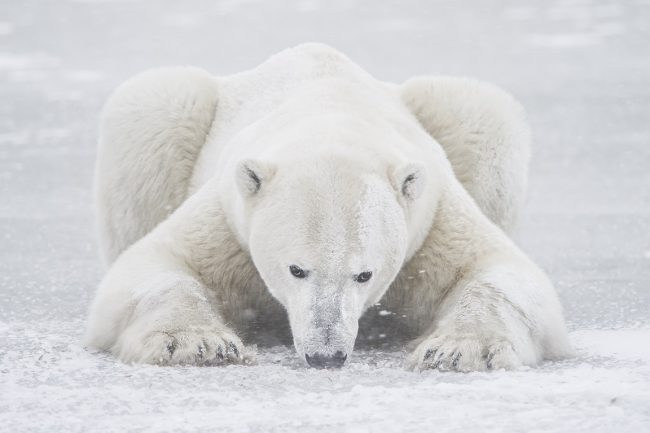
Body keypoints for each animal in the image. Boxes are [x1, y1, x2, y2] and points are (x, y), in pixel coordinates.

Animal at [83, 43, 568, 368]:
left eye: (364, 274)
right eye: (296, 269)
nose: (326, 355)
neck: (333, 123)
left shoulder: (430, 221)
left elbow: (499, 273)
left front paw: (459, 349)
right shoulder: (230, 215)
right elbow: (152, 265)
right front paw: (197, 344)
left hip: (458, 118)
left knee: (482, 113)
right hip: (169, 116)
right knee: (154, 107)